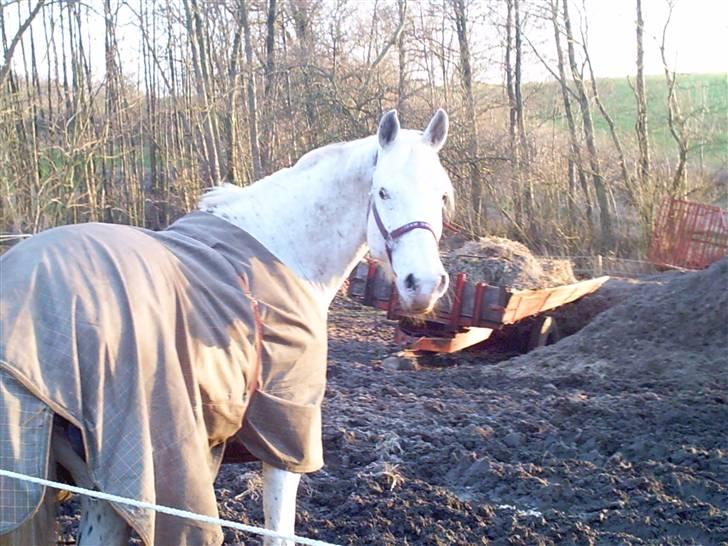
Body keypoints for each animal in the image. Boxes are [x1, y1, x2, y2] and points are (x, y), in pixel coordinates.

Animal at [0, 108, 452, 540]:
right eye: (383, 191)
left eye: (442, 195)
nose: (424, 284)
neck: (281, 252)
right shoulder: (284, 436)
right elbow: (278, 532)